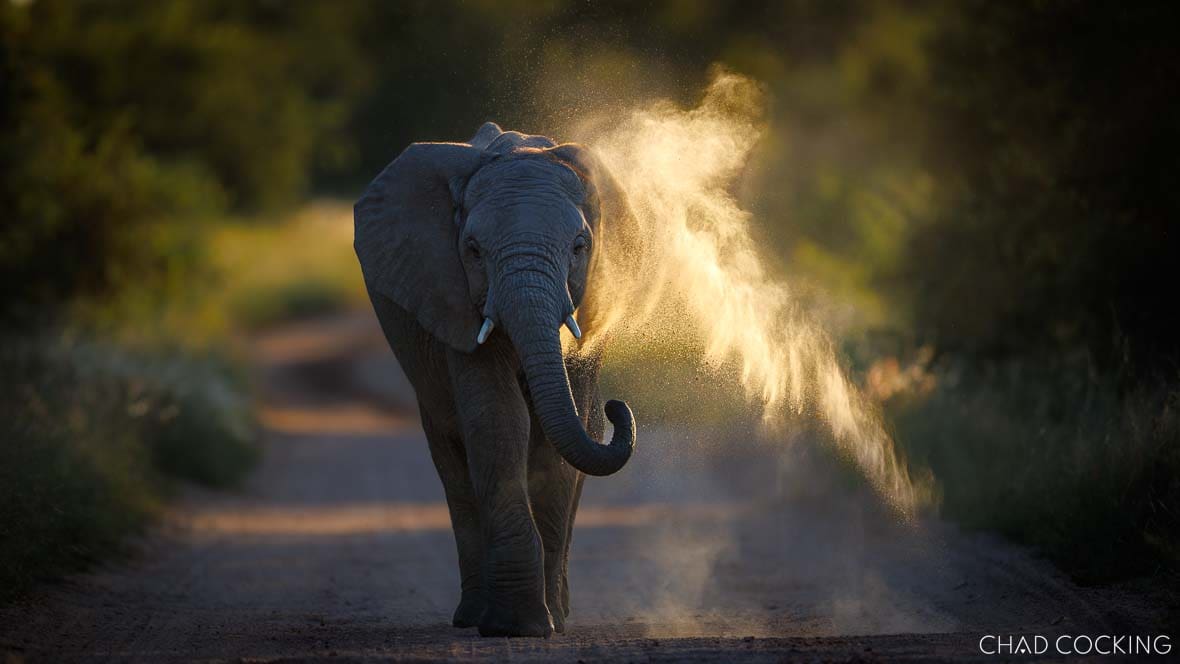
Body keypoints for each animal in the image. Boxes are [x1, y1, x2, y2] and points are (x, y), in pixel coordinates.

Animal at [354, 122, 639, 637]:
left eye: (580, 247)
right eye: (472, 250)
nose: (617, 409)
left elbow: (554, 437)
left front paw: (544, 624)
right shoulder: (450, 297)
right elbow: (499, 422)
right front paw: (515, 627)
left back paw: (557, 613)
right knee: (454, 466)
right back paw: (471, 617)